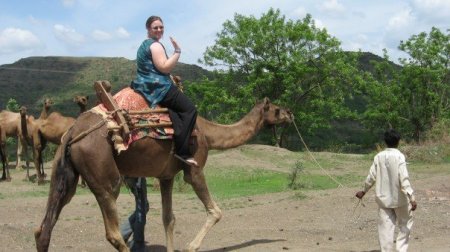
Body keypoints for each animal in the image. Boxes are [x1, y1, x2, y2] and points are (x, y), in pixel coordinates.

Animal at [36, 98, 296, 252]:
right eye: (276, 109)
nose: (290, 113)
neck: (208, 133)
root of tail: (73, 134)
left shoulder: (166, 176)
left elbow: (168, 219)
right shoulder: (194, 169)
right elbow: (215, 211)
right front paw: (191, 246)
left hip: (64, 173)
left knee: (43, 228)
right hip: (103, 174)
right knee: (112, 231)